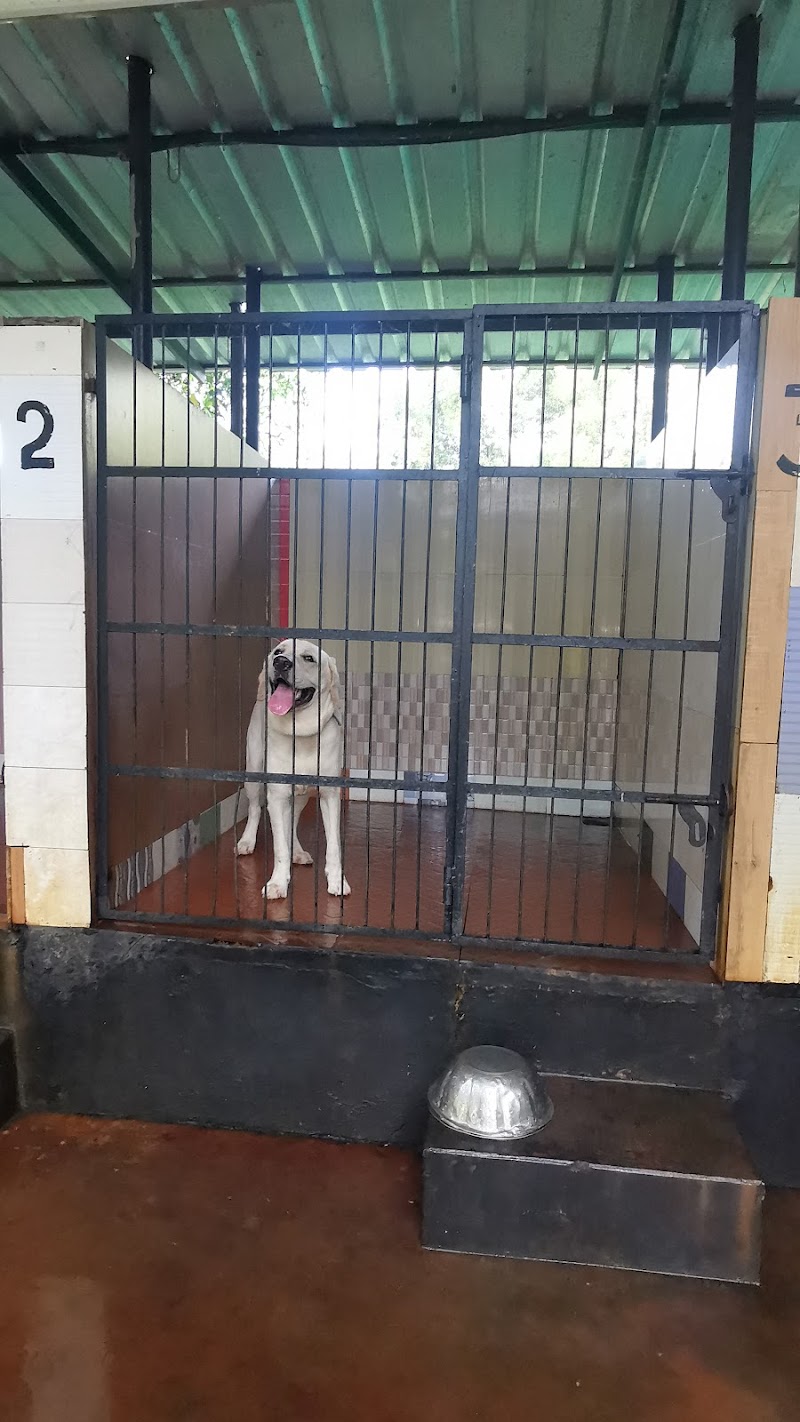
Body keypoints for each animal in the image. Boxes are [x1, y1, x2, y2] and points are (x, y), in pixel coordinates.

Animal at [236, 637, 351, 901]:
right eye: (278, 652)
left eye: (309, 658)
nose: (280, 662)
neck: (301, 732)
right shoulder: (278, 796)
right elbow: (279, 848)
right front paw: (278, 883)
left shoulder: (329, 795)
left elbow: (334, 846)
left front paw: (337, 881)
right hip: (254, 776)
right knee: (256, 810)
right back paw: (247, 841)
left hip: (301, 795)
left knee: (293, 823)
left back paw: (297, 851)